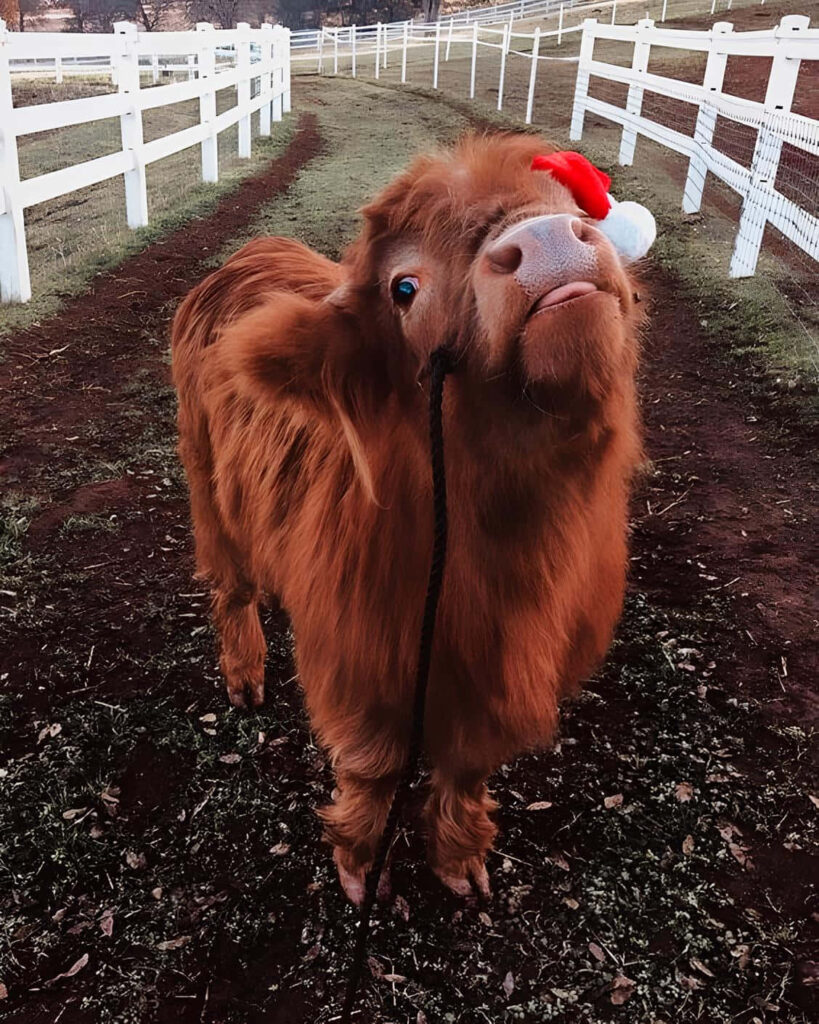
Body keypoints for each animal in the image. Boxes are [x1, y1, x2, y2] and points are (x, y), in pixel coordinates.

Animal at [171, 133, 648, 904]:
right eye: (405, 287)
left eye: (575, 212)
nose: (546, 240)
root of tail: (253, 250)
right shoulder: (360, 665)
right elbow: (374, 768)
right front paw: (360, 865)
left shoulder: (498, 685)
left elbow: (466, 767)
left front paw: (460, 859)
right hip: (208, 483)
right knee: (231, 585)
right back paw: (244, 674)